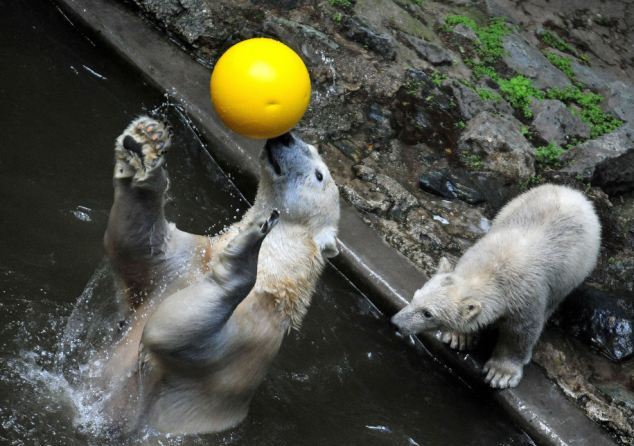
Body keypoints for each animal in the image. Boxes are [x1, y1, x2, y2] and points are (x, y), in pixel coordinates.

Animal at [102, 116, 340, 436]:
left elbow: (170, 335)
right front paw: (144, 141)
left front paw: (249, 245)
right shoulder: (184, 260)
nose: (285, 137)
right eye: (312, 147)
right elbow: (135, 245)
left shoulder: (246, 340)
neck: (271, 281)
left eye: (319, 175)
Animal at [390, 183, 596, 388]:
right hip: (515, 203)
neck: (492, 271)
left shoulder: (526, 298)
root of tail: (572, 192)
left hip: (579, 265)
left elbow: (521, 333)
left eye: (428, 314)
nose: (396, 323)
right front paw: (460, 337)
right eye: (415, 295)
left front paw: (501, 373)